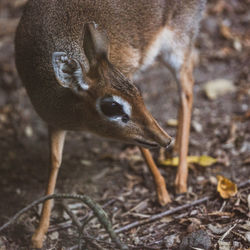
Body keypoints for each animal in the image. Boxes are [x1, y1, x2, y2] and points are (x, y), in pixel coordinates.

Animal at [15, 0, 206, 247]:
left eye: (138, 92)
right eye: (112, 106)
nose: (165, 139)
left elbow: (140, 145)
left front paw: (162, 193)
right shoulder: (53, 122)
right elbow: (54, 162)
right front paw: (38, 234)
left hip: (178, 41)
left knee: (187, 85)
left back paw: (180, 180)